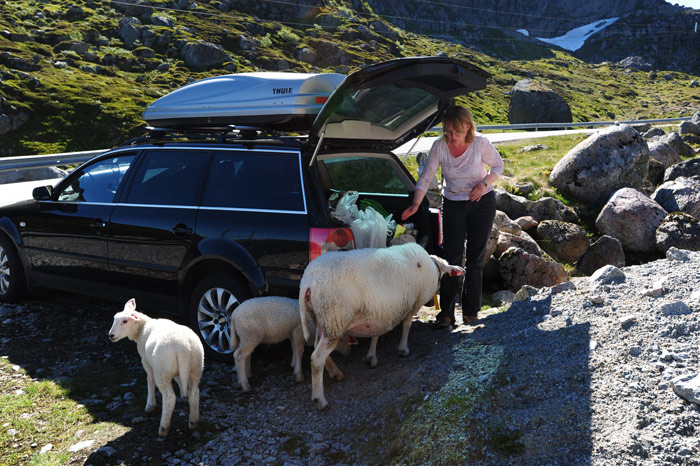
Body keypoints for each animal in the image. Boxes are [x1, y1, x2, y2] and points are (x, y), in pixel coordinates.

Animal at [108, 298, 204, 436]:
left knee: (169, 397)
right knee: (195, 392)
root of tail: (183, 346)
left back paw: (163, 428)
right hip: (195, 366)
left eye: (124, 321)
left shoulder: (146, 361)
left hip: (162, 369)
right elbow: (179, 379)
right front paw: (183, 393)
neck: (143, 328)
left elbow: (150, 380)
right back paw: (193, 422)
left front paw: (150, 405)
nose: (111, 335)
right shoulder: (179, 370)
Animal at [300, 242, 464, 410]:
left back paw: (336, 373)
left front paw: (371, 356)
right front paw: (403, 349)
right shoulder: (415, 304)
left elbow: (376, 333)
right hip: (335, 317)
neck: (433, 265)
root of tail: (308, 280)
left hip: (321, 319)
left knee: (317, 348)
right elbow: (407, 325)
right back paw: (320, 400)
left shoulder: (380, 310)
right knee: (317, 358)